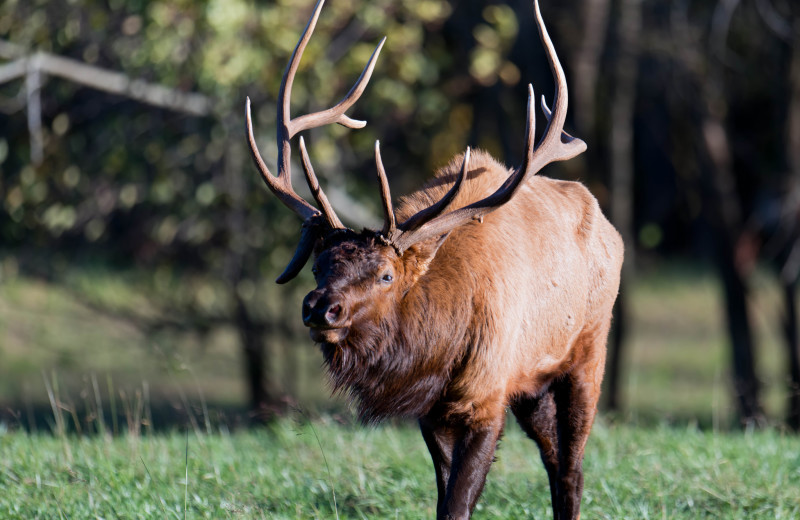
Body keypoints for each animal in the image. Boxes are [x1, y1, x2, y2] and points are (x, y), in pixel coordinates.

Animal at [247, 2, 620, 516]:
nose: (321, 308)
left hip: (588, 352)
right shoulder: (434, 410)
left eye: (386, 275)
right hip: (533, 383)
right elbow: (443, 502)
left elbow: (460, 503)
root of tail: (609, 226)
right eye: (319, 266)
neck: (439, 344)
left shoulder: (487, 394)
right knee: (554, 457)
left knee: (571, 467)